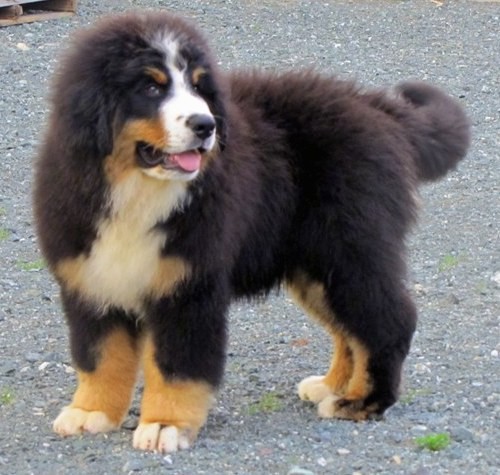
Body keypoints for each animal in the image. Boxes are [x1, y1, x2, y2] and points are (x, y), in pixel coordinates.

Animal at [33, 12, 470, 454]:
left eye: (198, 86)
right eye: (151, 87)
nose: (205, 124)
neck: (137, 190)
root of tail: (375, 106)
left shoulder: (189, 285)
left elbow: (176, 367)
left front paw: (164, 424)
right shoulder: (92, 281)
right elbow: (100, 358)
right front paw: (91, 411)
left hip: (349, 249)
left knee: (387, 320)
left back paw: (360, 401)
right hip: (316, 265)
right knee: (350, 330)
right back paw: (332, 386)